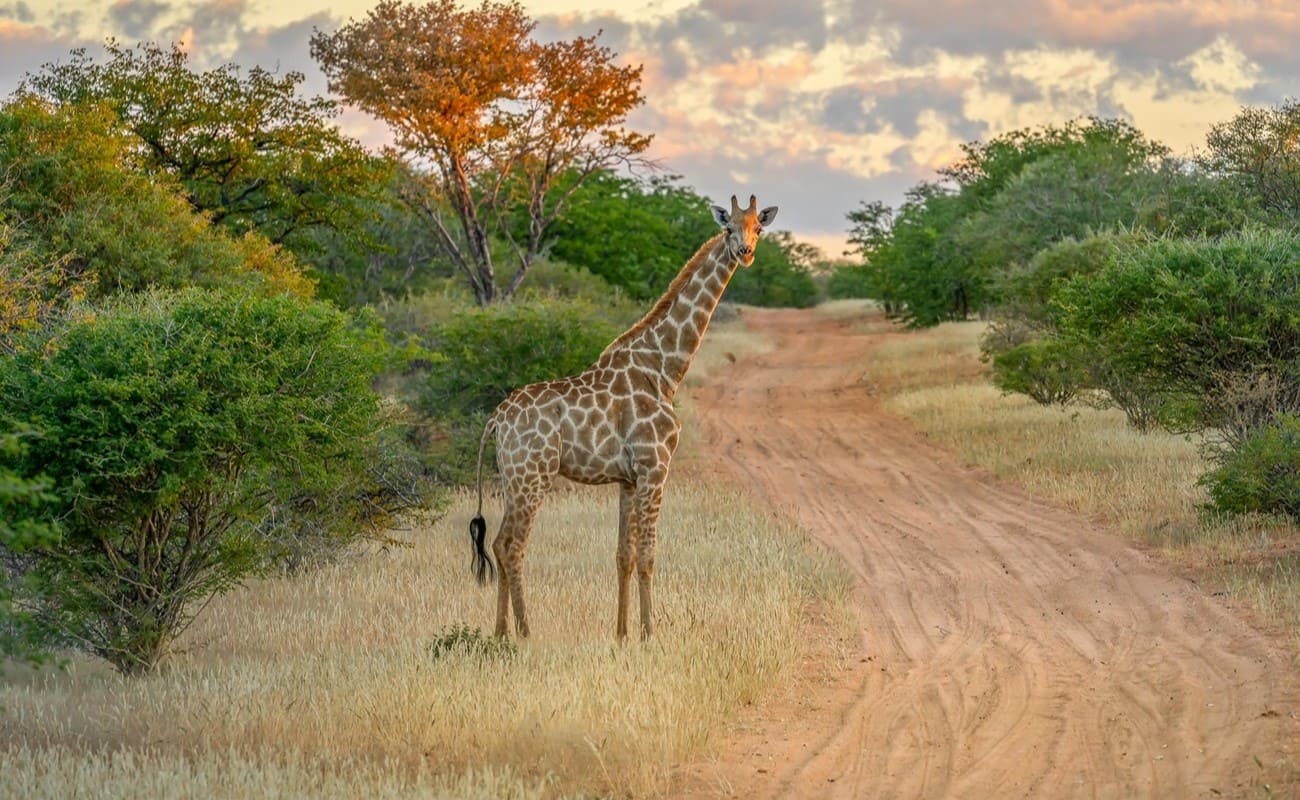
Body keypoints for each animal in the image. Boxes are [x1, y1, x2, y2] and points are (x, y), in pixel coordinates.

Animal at [468, 193, 778, 640]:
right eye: (728, 228)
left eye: (758, 227)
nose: (745, 252)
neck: (664, 369)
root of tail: (497, 420)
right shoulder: (654, 467)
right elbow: (648, 555)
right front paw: (651, 633)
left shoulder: (628, 479)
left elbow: (623, 555)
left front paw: (622, 633)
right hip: (533, 475)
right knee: (512, 545)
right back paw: (526, 634)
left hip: (512, 477)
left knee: (496, 542)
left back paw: (500, 633)